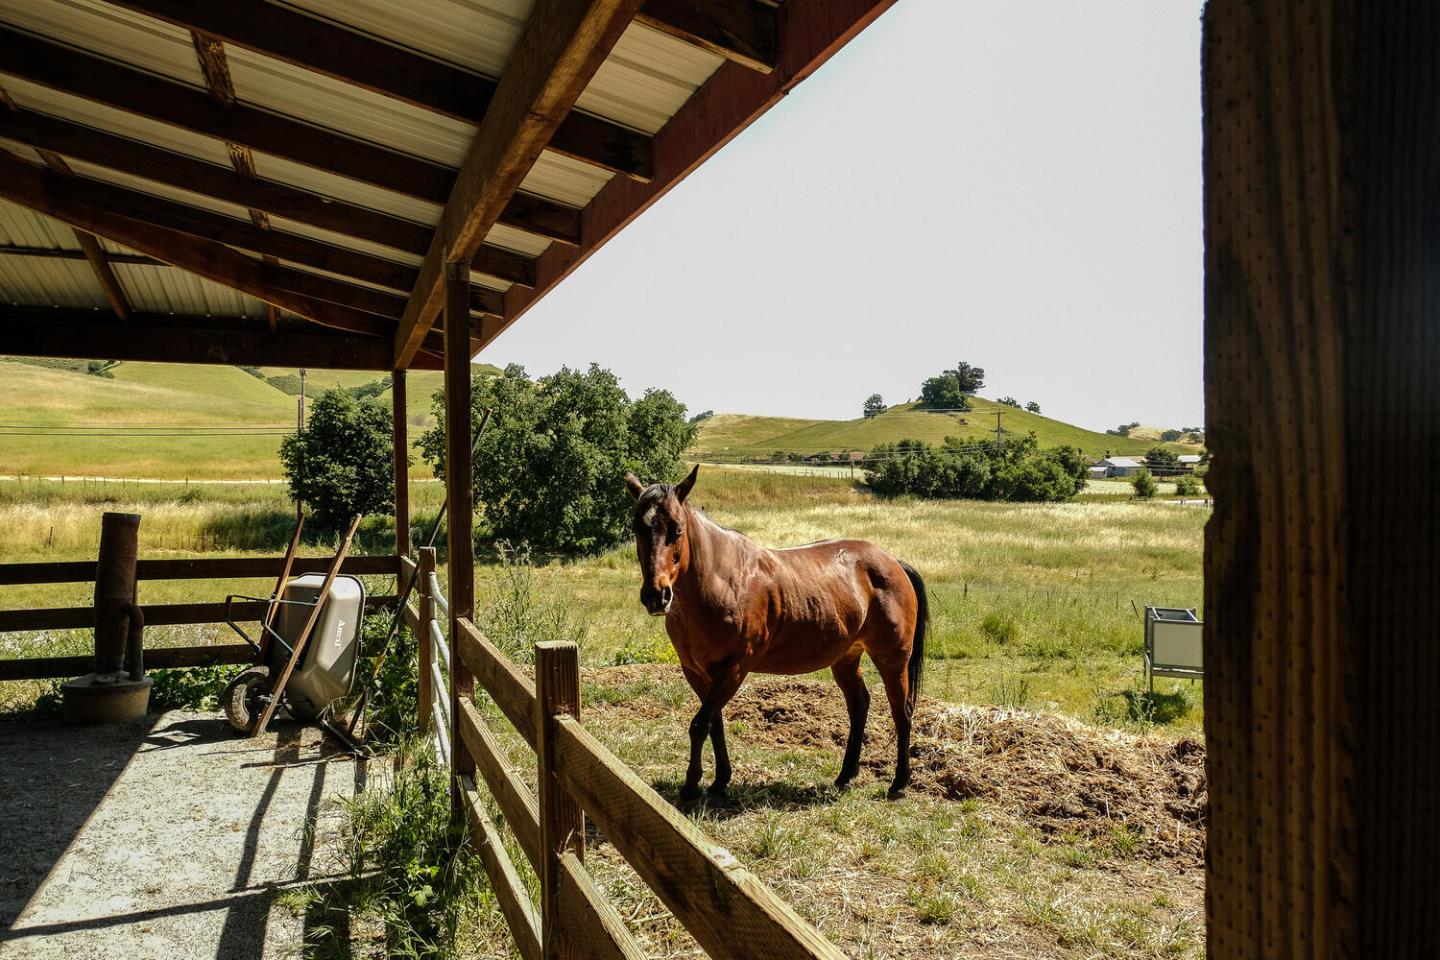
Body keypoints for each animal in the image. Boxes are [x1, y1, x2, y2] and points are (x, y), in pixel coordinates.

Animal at [624, 466, 927, 805]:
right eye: (637, 529)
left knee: (901, 712)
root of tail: (893, 563)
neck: (722, 582)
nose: (656, 595)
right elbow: (714, 723)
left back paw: (899, 784)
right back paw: (845, 776)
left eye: (677, 530)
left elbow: (700, 724)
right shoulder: (697, 673)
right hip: (846, 659)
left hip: (892, 659)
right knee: (859, 705)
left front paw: (691, 786)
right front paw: (720, 780)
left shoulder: (734, 670)